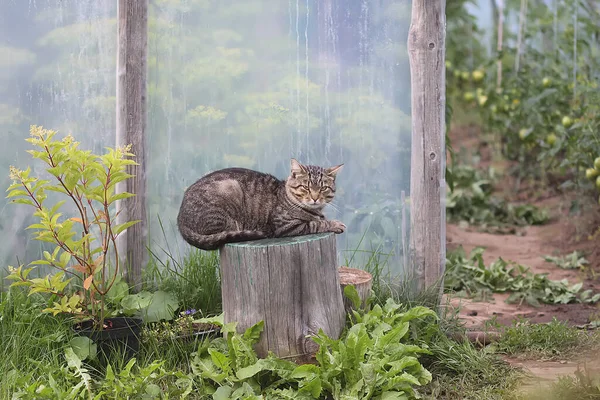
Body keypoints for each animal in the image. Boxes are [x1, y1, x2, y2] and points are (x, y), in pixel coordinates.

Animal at [177, 159, 346, 250]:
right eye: (306, 187)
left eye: (323, 188)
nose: (315, 198)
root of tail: (180, 220)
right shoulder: (286, 226)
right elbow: (315, 224)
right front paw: (335, 224)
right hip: (229, 191)